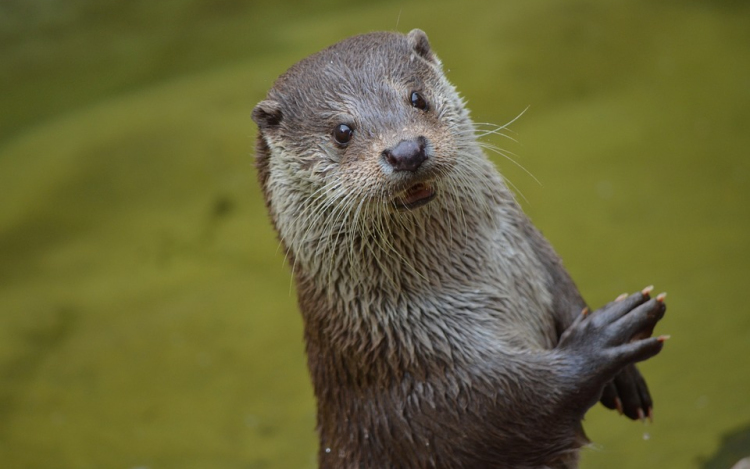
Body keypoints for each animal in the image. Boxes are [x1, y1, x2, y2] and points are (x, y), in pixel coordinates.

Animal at [251, 30, 668, 468]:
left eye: (417, 98)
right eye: (342, 131)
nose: (406, 150)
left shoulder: (534, 252)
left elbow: (565, 288)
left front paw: (625, 378)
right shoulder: (423, 393)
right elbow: (511, 407)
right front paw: (603, 340)